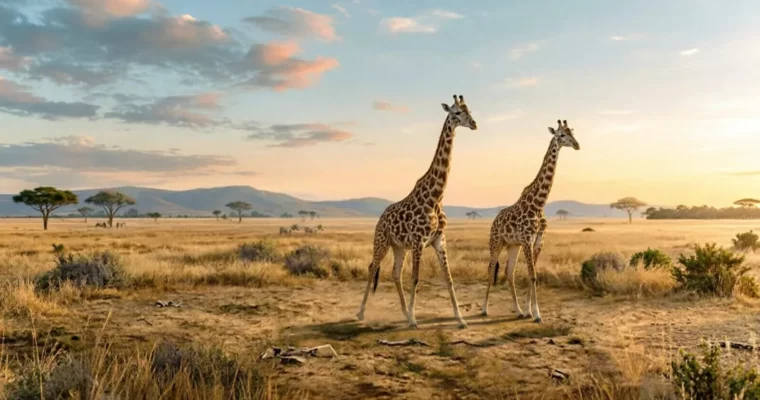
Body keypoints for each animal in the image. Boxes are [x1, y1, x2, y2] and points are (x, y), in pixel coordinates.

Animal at [357, 95, 478, 329]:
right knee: (372, 267)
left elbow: (448, 278)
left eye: (470, 110)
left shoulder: (439, 240)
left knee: (395, 274)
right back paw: (361, 312)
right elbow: (416, 278)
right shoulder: (418, 241)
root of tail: (380, 218)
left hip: (399, 247)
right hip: (382, 241)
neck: (436, 197)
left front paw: (460, 318)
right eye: (456, 112)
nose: (474, 124)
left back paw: (403, 312)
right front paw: (414, 319)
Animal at [482, 120, 580, 323]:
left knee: (508, 272)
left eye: (572, 133)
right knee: (490, 269)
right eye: (561, 135)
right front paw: (537, 314)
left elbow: (530, 274)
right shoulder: (527, 239)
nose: (577, 145)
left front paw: (528, 311)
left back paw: (517, 310)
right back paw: (484, 309)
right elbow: (533, 275)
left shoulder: (538, 240)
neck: (539, 203)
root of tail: (494, 221)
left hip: (512, 245)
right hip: (496, 242)